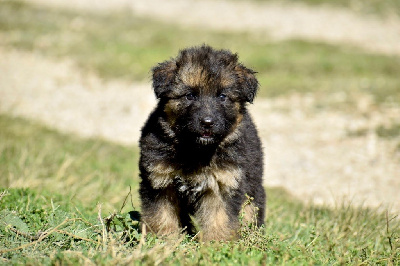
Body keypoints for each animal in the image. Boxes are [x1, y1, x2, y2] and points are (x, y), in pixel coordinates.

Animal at [138, 45, 266, 241]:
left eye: (222, 96)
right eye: (190, 95)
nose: (207, 122)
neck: (195, 151)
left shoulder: (222, 184)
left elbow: (219, 219)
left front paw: (217, 244)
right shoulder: (159, 181)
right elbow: (162, 216)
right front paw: (165, 241)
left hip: (253, 187)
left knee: (251, 212)